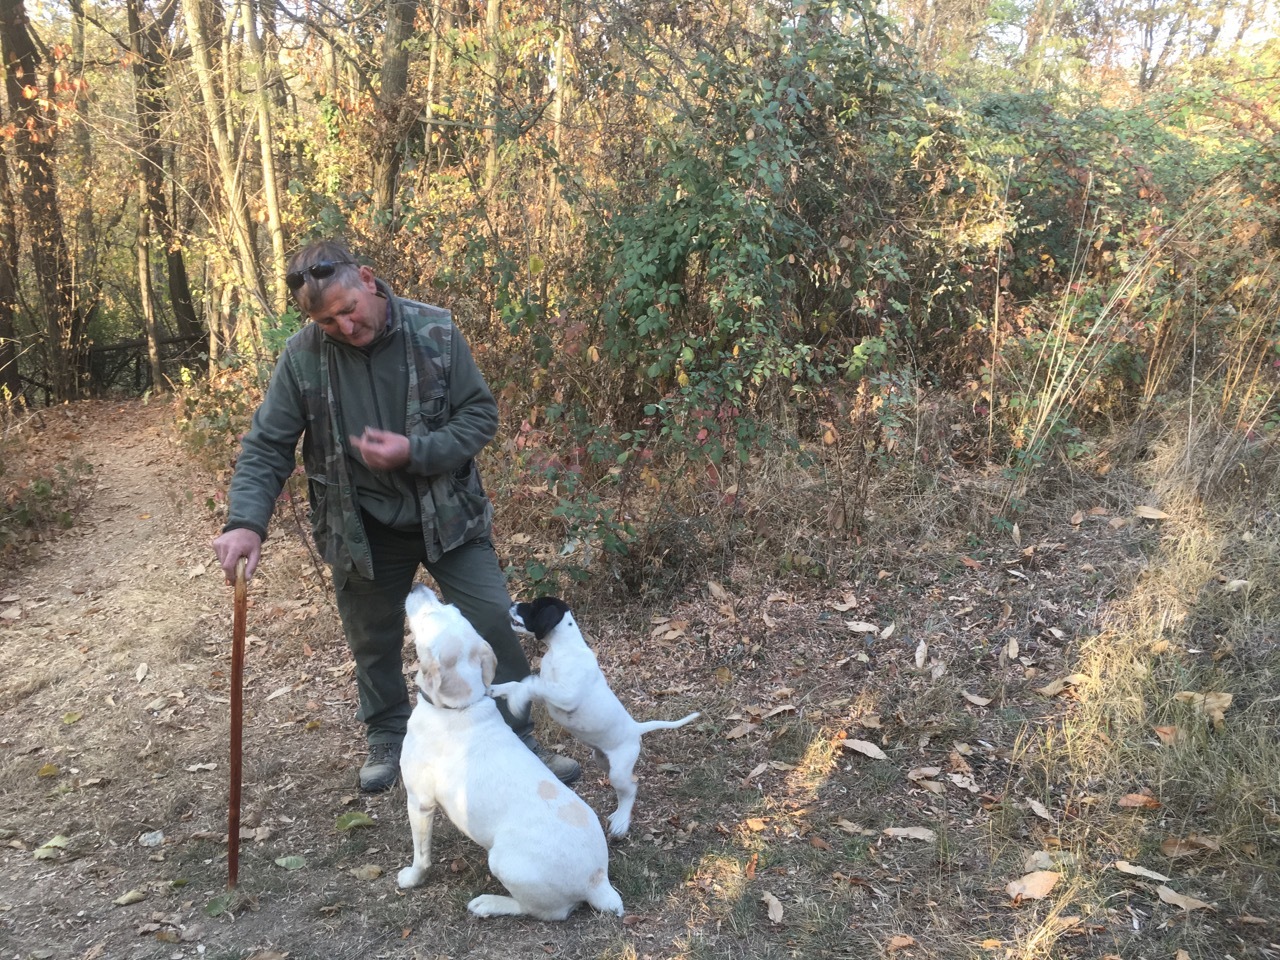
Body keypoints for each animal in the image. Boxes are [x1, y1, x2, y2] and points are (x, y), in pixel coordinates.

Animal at [394, 586, 624, 926]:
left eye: (428, 618)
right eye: (450, 607)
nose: (418, 587)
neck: (461, 706)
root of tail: (598, 881)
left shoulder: (419, 802)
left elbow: (421, 856)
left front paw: (411, 878)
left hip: (502, 860)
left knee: (542, 911)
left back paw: (489, 903)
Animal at [494, 599, 706, 839]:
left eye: (532, 606)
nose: (513, 603)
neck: (562, 649)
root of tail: (635, 728)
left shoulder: (566, 695)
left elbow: (531, 683)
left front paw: (515, 701)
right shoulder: (552, 695)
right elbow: (522, 684)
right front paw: (497, 689)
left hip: (619, 770)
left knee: (631, 789)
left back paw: (621, 822)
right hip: (602, 760)